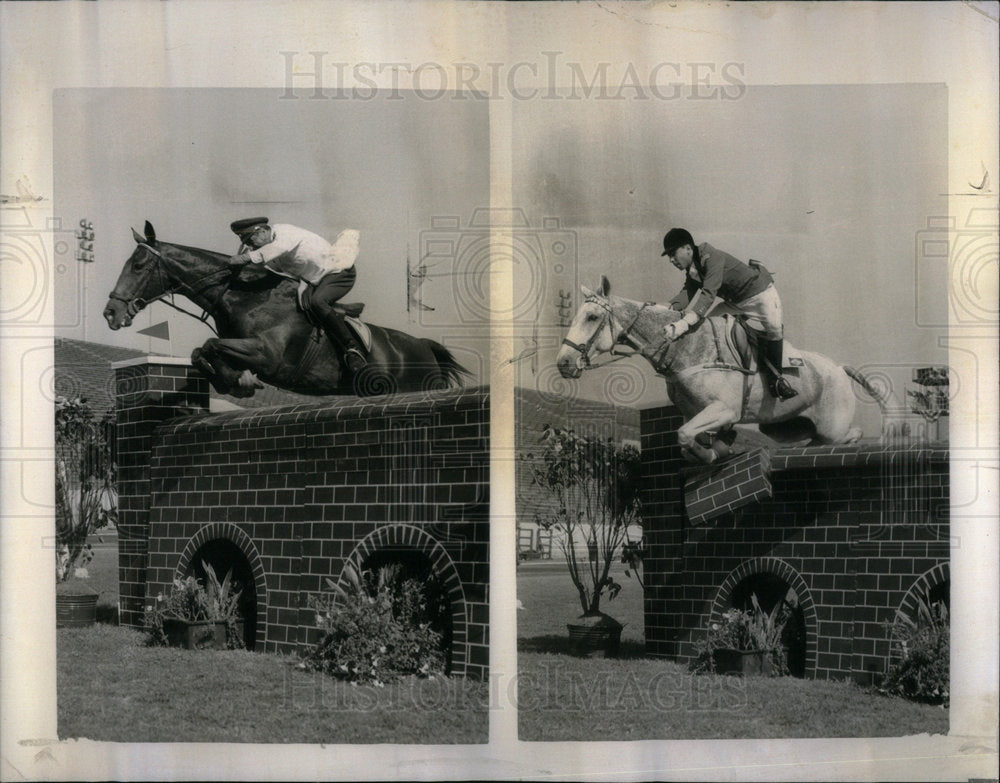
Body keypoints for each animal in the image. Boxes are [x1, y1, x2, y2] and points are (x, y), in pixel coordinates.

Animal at [103, 225, 470, 398]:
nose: (110, 313)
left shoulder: (268, 356)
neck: (241, 296)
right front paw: (233, 381)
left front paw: (240, 381)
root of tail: (425, 347)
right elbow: (199, 353)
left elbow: (209, 346)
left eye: (138, 265)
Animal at [556, 278, 892, 466]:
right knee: (815, 440)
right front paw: (718, 449)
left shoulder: (725, 409)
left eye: (592, 316)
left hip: (832, 424)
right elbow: (689, 441)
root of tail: (838, 368)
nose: (563, 363)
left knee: (849, 435)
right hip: (782, 426)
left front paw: (713, 453)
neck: (685, 348)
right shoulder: (696, 413)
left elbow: (685, 436)